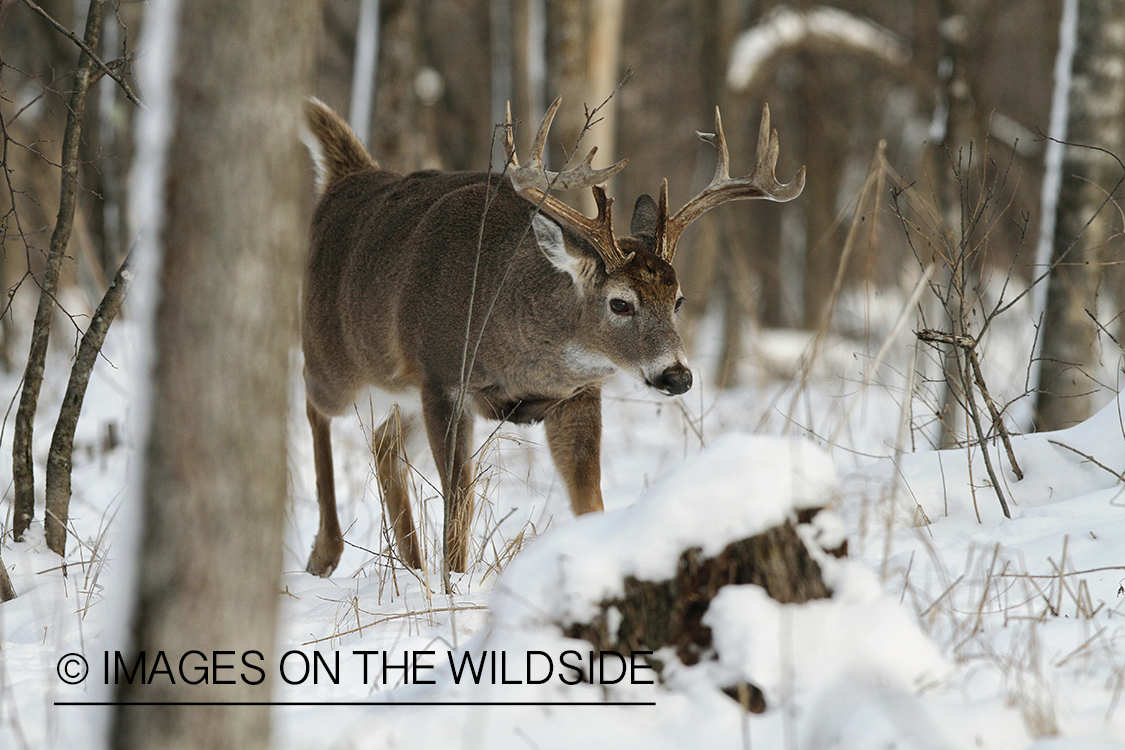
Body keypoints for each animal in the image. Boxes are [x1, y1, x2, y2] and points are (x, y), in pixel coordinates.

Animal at [303, 96, 805, 580]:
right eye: (620, 303)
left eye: (678, 300)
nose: (677, 376)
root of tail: (348, 177)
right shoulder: (443, 377)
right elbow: (460, 502)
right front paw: (454, 587)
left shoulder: (577, 393)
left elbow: (590, 499)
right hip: (335, 357)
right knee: (313, 406)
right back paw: (325, 553)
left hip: (404, 393)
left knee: (382, 442)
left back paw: (411, 566)